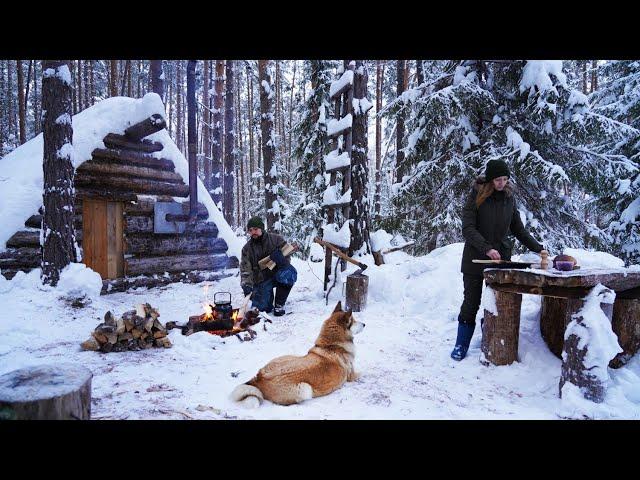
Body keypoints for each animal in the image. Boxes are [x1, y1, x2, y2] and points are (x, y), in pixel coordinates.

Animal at [231, 302, 364, 406]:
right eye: (354, 321)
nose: (364, 324)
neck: (331, 345)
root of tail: (259, 378)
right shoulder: (352, 375)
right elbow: (362, 373)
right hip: (305, 389)